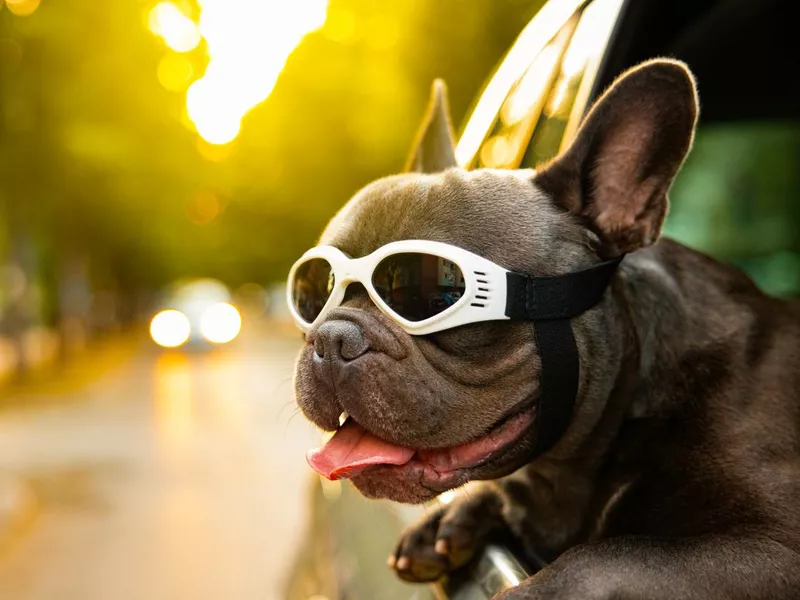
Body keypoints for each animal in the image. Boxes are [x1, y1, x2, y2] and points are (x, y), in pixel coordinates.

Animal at [292, 58, 800, 596]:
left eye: (431, 292)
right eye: (312, 293)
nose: (332, 338)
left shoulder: (772, 547)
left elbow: (602, 558)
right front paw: (450, 522)